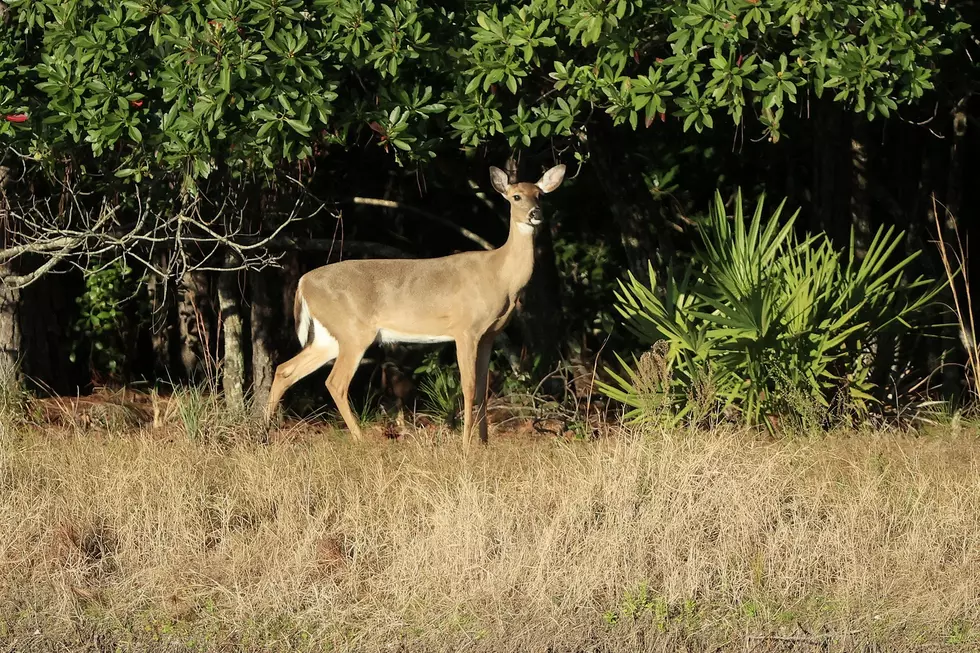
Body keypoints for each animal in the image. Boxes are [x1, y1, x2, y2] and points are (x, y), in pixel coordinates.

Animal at [264, 162, 568, 444]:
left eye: (540, 195)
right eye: (516, 196)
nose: (536, 214)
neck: (499, 275)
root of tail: (303, 282)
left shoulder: (489, 334)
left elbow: (482, 388)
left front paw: (483, 444)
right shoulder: (465, 328)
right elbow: (468, 386)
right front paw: (466, 446)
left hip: (329, 335)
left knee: (285, 370)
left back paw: (264, 435)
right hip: (353, 330)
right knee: (335, 382)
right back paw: (361, 440)